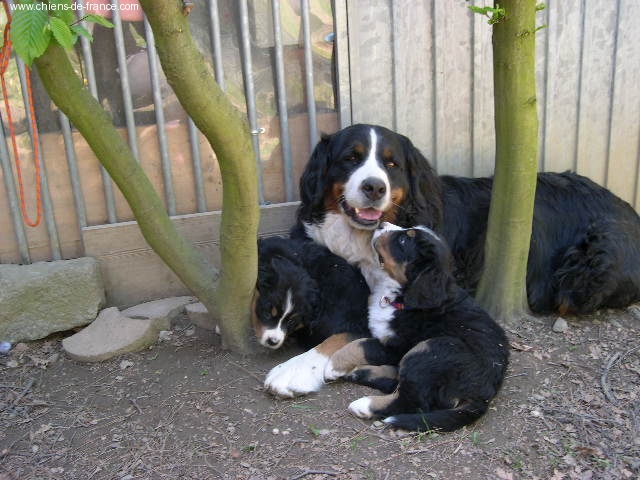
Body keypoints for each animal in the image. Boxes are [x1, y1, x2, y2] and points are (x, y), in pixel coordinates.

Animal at [323, 223, 510, 432]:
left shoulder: (397, 346)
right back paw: (359, 373)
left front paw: (333, 366)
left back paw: (365, 404)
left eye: (404, 240)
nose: (382, 224)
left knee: (411, 400)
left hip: (432, 347)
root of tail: (484, 395)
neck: (401, 298)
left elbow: (360, 344)